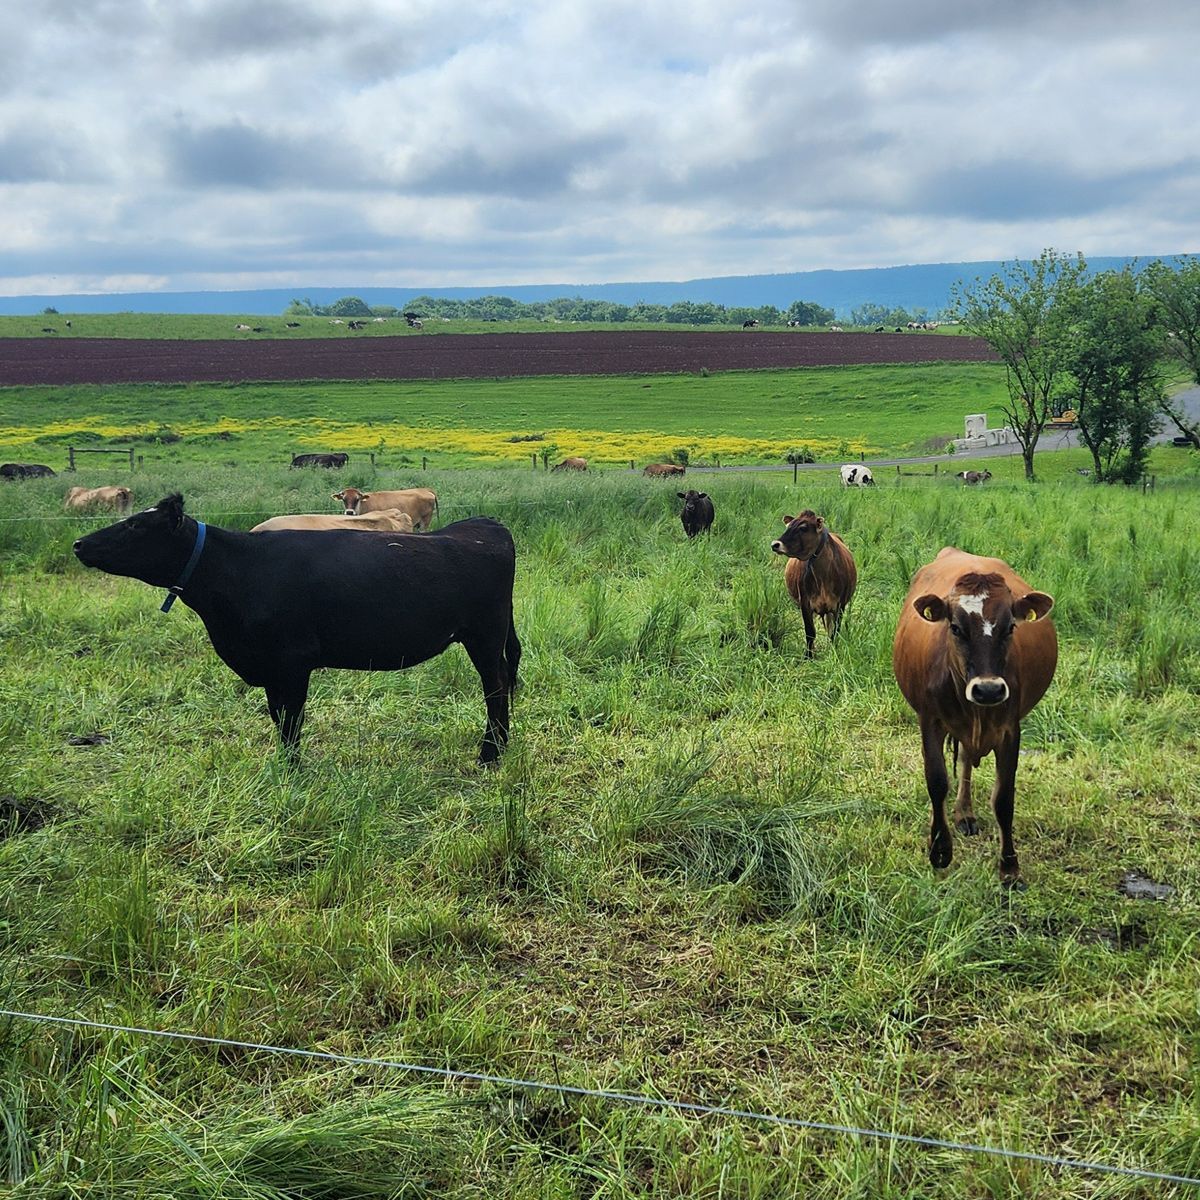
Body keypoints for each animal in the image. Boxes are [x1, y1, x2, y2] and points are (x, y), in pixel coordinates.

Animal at [72, 494, 521, 763]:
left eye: (134, 526)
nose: (78, 544)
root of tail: (486, 526)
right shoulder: (270, 668)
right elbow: (278, 717)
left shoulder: (292, 661)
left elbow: (291, 722)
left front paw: (293, 770)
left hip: (484, 634)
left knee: (496, 687)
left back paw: (490, 754)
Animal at [770, 510, 857, 658]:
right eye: (788, 526)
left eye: (803, 528)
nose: (775, 544)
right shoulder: (805, 603)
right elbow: (810, 632)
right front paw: (808, 656)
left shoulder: (840, 605)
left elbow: (835, 632)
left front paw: (834, 652)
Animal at [892, 548, 1056, 886]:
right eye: (955, 627)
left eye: (1011, 627)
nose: (989, 690)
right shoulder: (929, 721)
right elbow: (936, 782)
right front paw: (940, 849)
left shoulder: (1010, 730)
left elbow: (1003, 798)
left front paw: (1010, 867)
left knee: (967, 759)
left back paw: (964, 812)